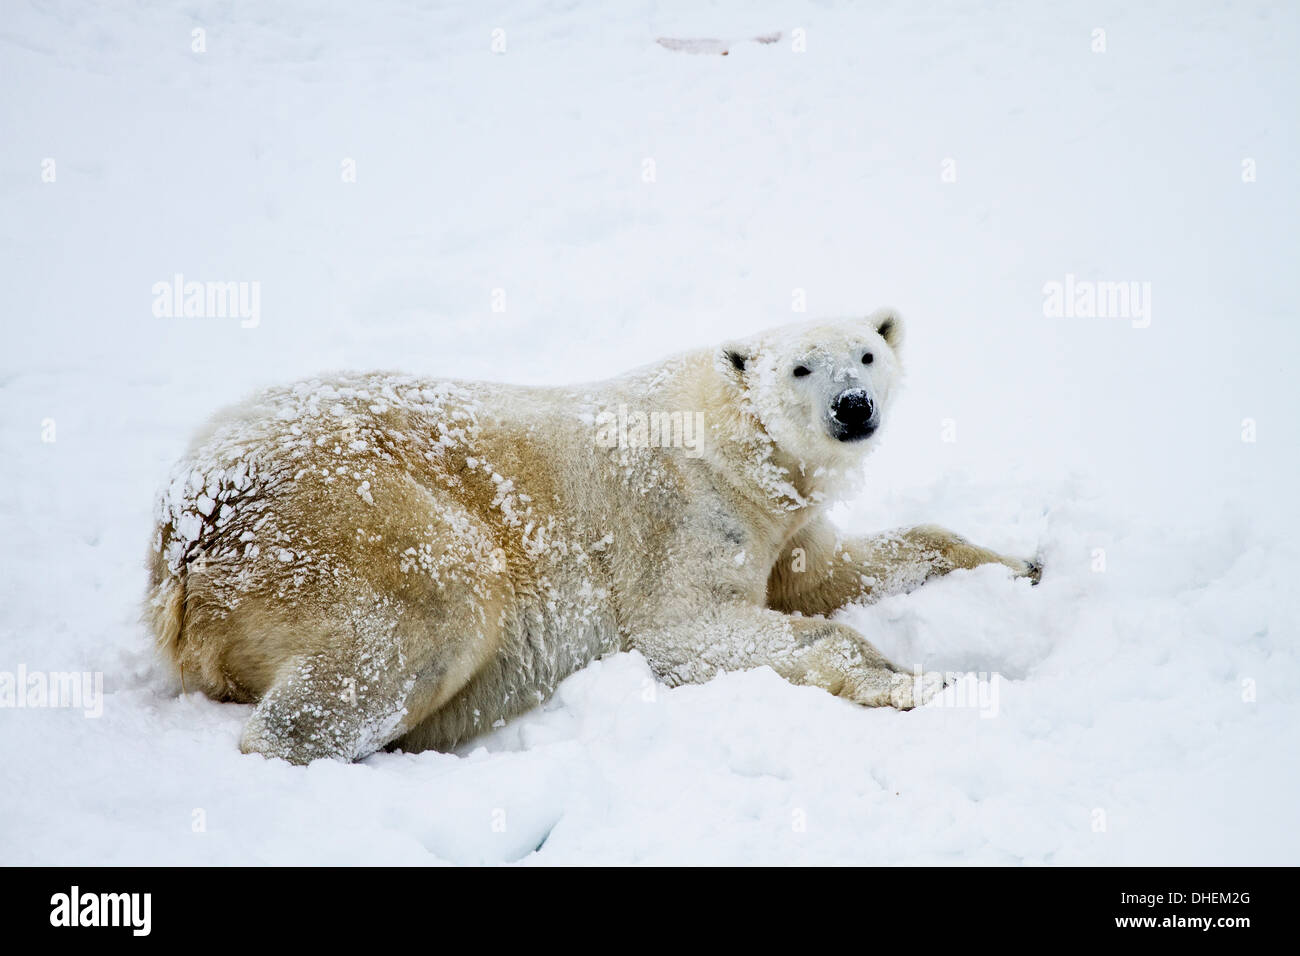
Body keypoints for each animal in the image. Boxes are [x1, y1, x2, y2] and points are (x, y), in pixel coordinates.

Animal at [144, 310, 1034, 764]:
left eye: (867, 353)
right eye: (800, 368)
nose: (855, 407)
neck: (731, 436)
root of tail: (182, 535)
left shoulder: (781, 523)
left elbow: (837, 570)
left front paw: (1021, 562)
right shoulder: (684, 516)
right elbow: (691, 627)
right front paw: (919, 681)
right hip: (344, 517)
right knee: (427, 615)